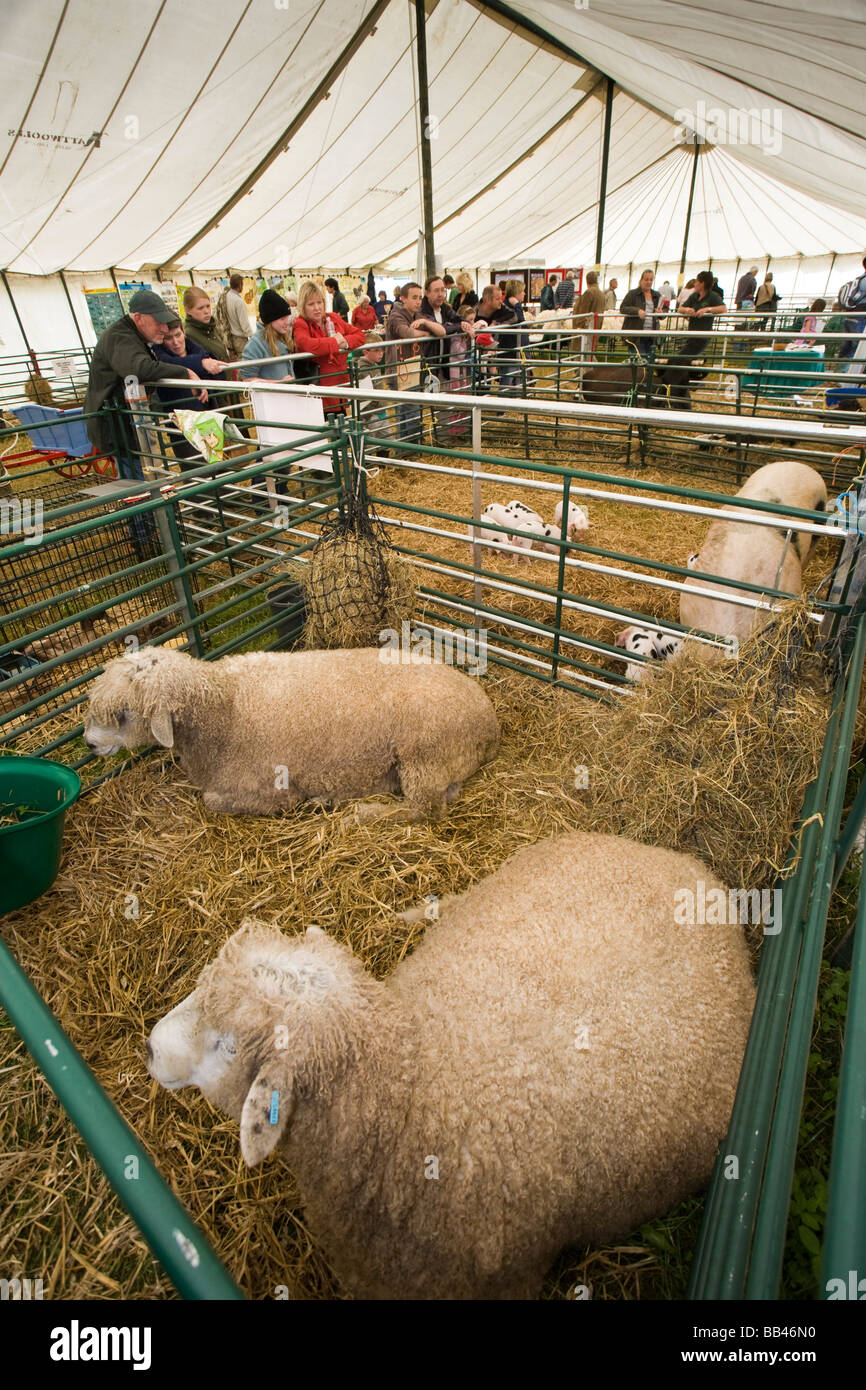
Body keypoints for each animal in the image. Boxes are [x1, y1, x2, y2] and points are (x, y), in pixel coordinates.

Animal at [84, 642, 500, 817]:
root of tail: (489, 720)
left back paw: (360, 814)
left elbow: (213, 801)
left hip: (422, 754)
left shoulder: (270, 791)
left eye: (123, 713)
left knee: (424, 810)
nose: (88, 744)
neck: (225, 706)